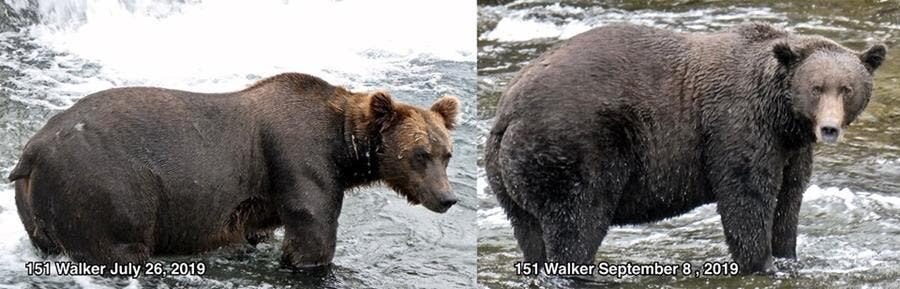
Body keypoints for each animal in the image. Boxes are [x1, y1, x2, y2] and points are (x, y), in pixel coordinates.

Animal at [5, 71, 458, 268]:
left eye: (446, 153)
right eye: (420, 153)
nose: (448, 198)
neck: (343, 148)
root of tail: (32, 150)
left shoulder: (262, 195)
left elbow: (257, 231)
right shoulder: (299, 158)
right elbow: (313, 233)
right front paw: (308, 264)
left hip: (40, 208)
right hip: (106, 187)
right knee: (118, 246)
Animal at [486, 22, 884, 272]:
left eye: (846, 88)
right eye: (816, 87)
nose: (829, 128)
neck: (781, 117)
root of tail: (508, 111)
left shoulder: (791, 149)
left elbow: (789, 201)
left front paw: (788, 256)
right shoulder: (736, 128)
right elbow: (746, 198)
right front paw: (762, 263)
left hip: (509, 176)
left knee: (530, 231)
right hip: (575, 145)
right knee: (576, 221)